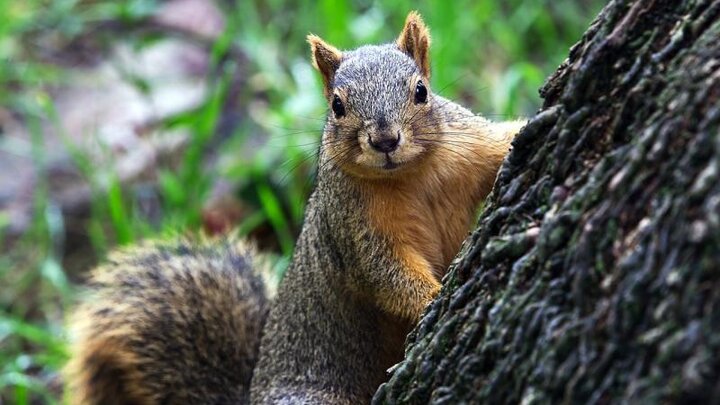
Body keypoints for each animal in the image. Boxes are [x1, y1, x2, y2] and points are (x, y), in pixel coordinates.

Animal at [64, 11, 524, 404]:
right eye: (337, 106)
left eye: (421, 91)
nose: (385, 140)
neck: (411, 175)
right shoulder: (352, 227)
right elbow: (387, 272)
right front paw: (434, 297)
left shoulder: (469, 147)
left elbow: (501, 144)